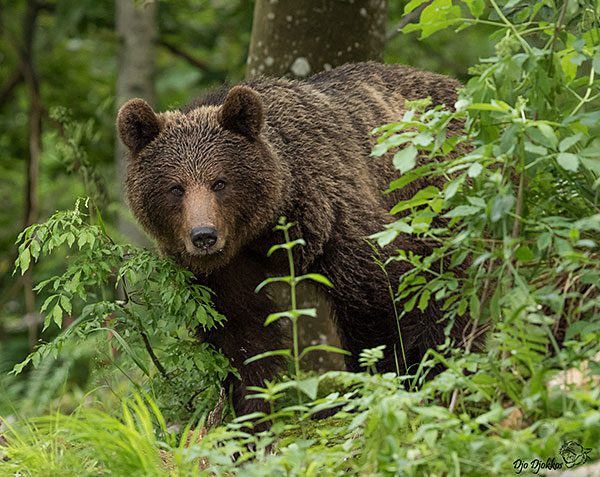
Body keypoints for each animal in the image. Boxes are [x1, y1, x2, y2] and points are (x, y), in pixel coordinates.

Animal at [117, 62, 472, 424]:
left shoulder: (333, 215)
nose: (204, 236)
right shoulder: (220, 273)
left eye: (220, 182)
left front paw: (374, 381)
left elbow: (375, 293)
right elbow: (242, 331)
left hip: (439, 199)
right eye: (176, 188)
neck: (261, 227)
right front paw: (252, 414)